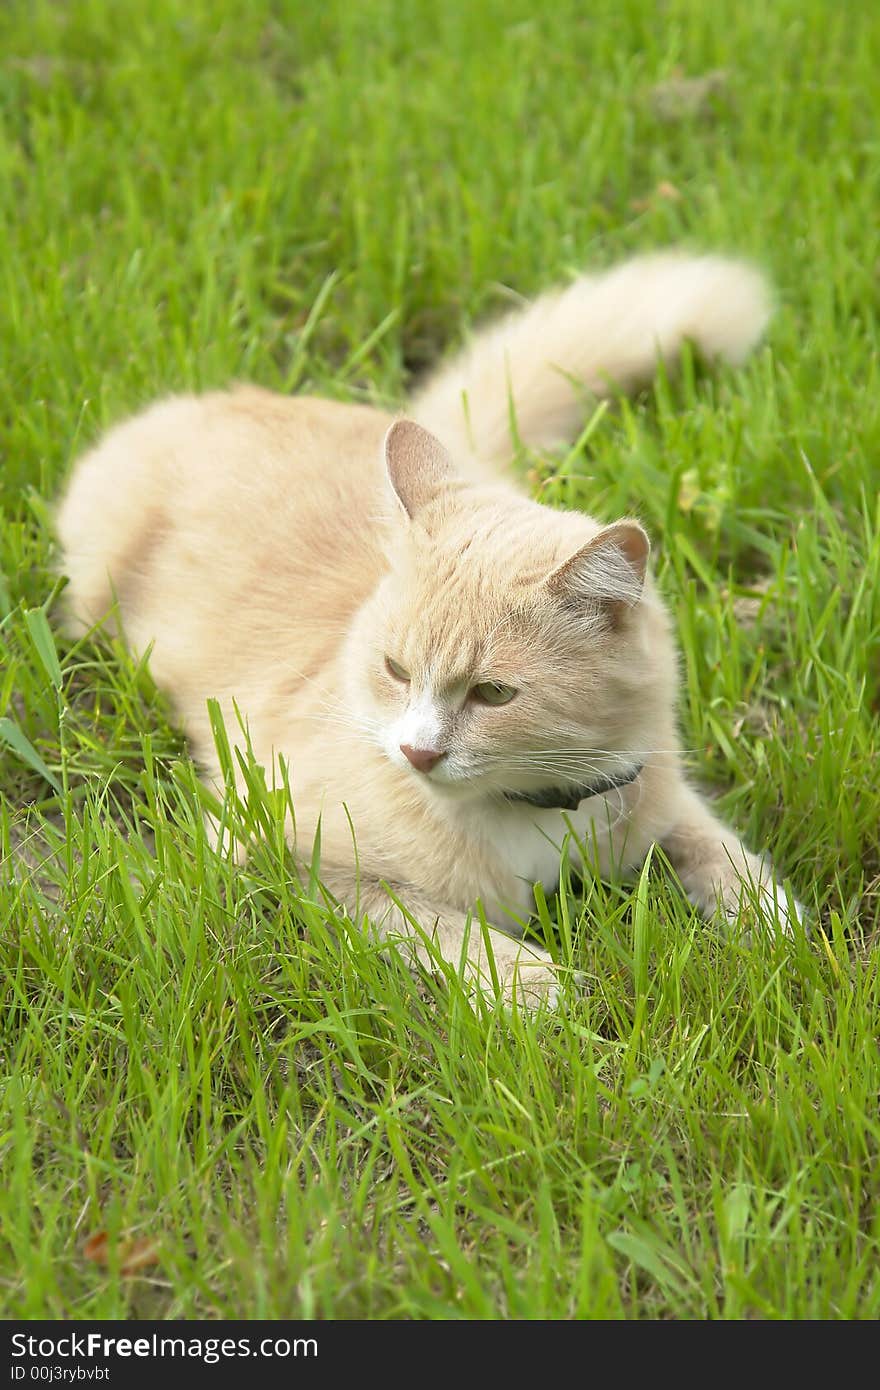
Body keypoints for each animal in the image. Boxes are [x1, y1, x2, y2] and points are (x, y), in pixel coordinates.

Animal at [54, 252, 800, 1011]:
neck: (534, 814)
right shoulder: (295, 861)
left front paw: (769, 917)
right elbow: (447, 928)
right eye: (396, 670)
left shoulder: (657, 789)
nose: (416, 753)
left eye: (494, 695)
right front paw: (536, 985)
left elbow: (715, 846)